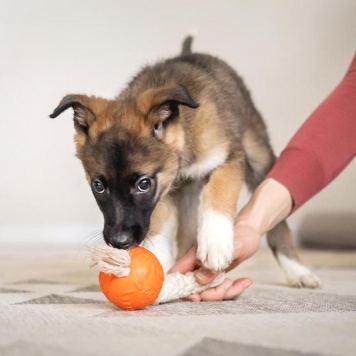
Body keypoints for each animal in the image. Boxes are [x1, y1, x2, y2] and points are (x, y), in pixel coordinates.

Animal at [50, 37, 320, 288]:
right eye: (98, 186)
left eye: (143, 184)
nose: (119, 242)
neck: (184, 149)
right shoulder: (166, 191)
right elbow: (159, 225)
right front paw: (160, 265)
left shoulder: (230, 158)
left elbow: (219, 190)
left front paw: (215, 242)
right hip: (189, 194)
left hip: (258, 155)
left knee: (277, 223)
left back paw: (297, 271)